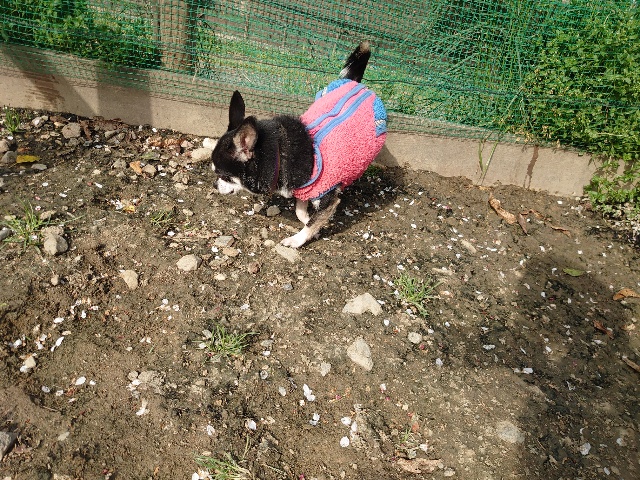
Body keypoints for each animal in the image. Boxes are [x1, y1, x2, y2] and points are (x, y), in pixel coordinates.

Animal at [211, 41, 387, 248]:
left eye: (224, 176)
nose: (214, 185)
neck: (280, 153)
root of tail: (357, 84)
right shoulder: (303, 189)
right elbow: (301, 211)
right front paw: (309, 222)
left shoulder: (327, 198)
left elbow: (314, 221)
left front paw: (297, 239)